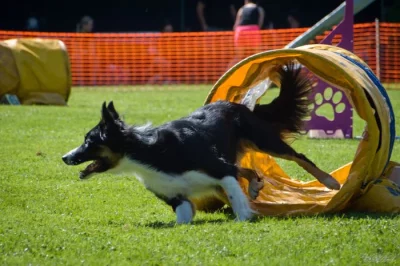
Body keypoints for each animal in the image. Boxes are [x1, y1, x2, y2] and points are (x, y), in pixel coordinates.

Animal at [62, 63, 340, 223]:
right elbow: (183, 217)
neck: (148, 153)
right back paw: (255, 186)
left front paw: (244, 218)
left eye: (88, 141)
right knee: (250, 170)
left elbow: (236, 198)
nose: (65, 157)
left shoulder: (219, 168)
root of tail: (239, 105)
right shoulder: (175, 195)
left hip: (264, 141)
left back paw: (330, 181)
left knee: (300, 157)